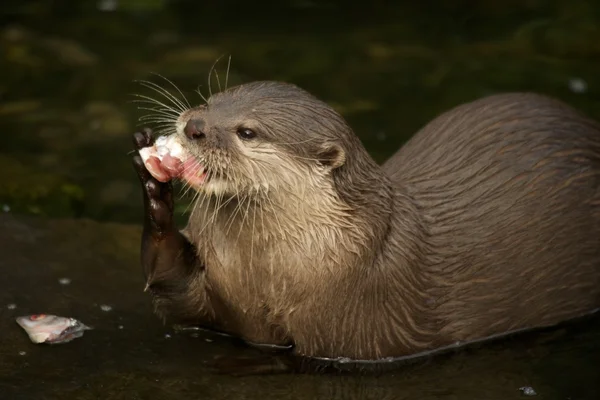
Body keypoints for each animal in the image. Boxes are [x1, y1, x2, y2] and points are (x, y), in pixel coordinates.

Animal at [131, 80, 600, 366]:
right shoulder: (215, 292)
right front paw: (154, 190)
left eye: (247, 132)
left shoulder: (353, 315)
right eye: (211, 101)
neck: (264, 273)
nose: (194, 125)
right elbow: (178, 295)